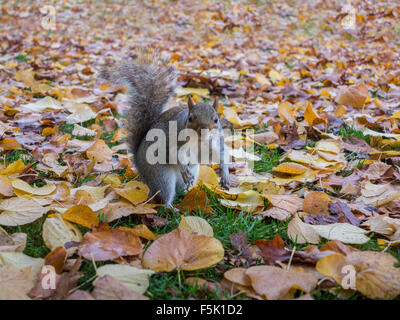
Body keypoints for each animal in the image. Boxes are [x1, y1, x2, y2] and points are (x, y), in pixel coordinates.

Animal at [101, 53, 228, 209]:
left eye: (216, 119)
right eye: (190, 118)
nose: (203, 132)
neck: (198, 141)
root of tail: (139, 163)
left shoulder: (216, 141)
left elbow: (220, 154)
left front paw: (225, 173)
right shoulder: (175, 140)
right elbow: (175, 153)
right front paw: (184, 167)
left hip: (189, 173)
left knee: (180, 188)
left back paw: (190, 192)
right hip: (161, 175)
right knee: (164, 194)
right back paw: (171, 207)